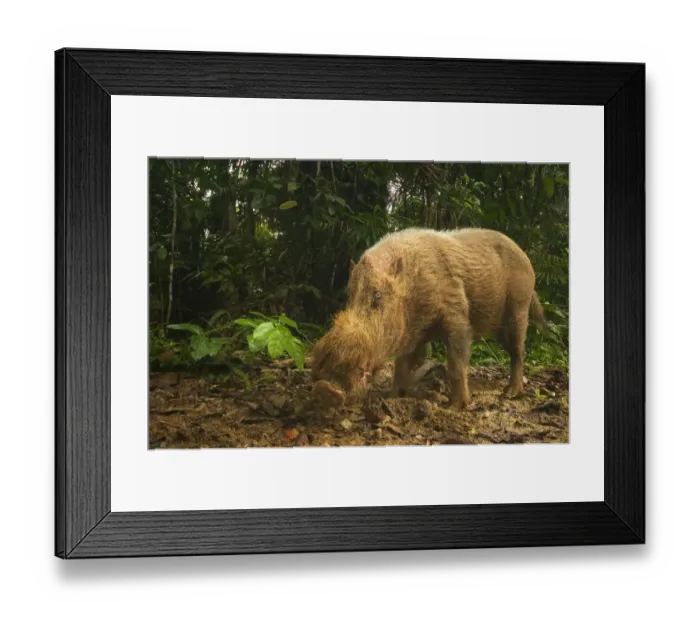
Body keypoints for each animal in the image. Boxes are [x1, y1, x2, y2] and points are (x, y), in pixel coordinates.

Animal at [311, 227, 545, 410]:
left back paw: (510, 393)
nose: (324, 387)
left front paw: (454, 406)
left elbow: (456, 362)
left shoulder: (457, 313)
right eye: (349, 297)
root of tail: (527, 258)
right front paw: (394, 396)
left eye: (377, 296)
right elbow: (402, 364)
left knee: (518, 350)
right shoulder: (413, 334)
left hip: (519, 307)